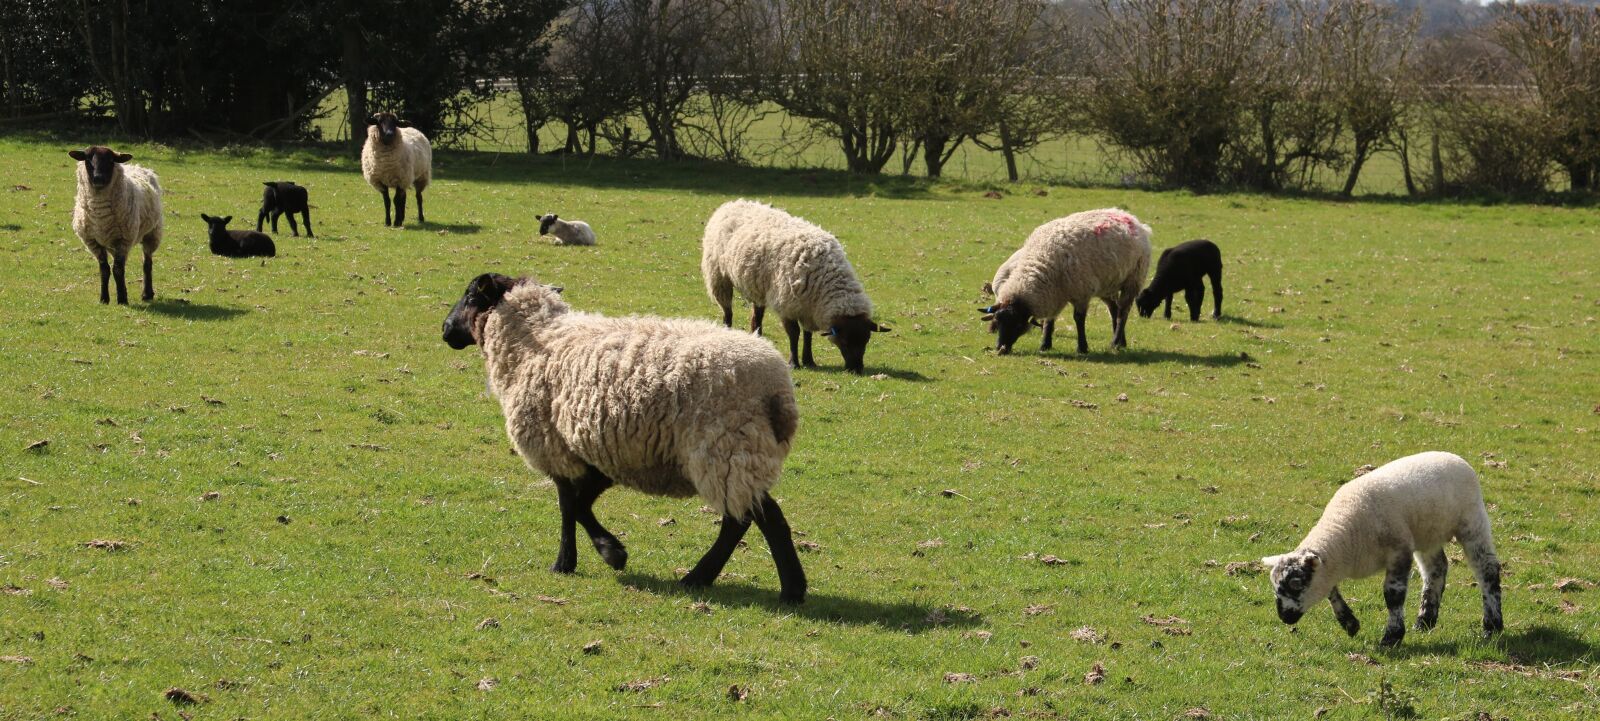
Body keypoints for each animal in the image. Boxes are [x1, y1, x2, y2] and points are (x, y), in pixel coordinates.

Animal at [69, 147, 163, 305]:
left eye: (111, 160)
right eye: (87, 159)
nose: (98, 178)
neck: (100, 215)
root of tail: (136, 166)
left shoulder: (123, 240)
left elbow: (118, 270)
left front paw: (122, 300)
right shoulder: (93, 242)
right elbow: (105, 269)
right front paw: (104, 299)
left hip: (152, 233)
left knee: (147, 263)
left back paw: (147, 294)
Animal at [438, 271, 806, 604]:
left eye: (470, 296)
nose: (445, 329)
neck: (537, 339)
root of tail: (777, 390)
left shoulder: (555, 447)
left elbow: (568, 505)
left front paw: (580, 560)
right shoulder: (599, 451)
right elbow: (581, 503)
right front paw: (607, 552)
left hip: (726, 449)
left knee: (748, 520)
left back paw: (714, 579)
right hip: (742, 454)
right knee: (758, 516)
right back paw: (781, 587)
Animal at [707, 199, 896, 375]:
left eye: (866, 340)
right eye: (844, 341)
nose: (856, 369)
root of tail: (733, 203)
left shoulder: (808, 308)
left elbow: (807, 334)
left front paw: (809, 360)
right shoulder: (787, 305)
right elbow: (794, 333)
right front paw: (794, 363)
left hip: (758, 287)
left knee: (757, 316)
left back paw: (757, 338)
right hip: (718, 276)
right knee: (727, 311)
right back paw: (728, 332)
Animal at [972, 209, 1152, 354]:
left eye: (1017, 325)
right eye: (997, 321)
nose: (1000, 348)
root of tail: (1132, 219)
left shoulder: (1081, 293)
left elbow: (1078, 319)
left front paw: (1082, 347)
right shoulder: (1054, 293)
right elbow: (1049, 319)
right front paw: (1045, 345)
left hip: (1133, 279)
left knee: (1123, 312)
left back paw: (1115, 343)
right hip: (1107, 284)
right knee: (1114, 309)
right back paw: (1121, 341)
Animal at [1260, 450, 1497, 649]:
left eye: (1295, 584)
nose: (1284, 617)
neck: (1344, 534)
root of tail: (1454, 457)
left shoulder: (1399, 551)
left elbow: (1393, 595)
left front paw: (1391, 637)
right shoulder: (1329, 568)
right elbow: (1330, 591)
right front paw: (1350, 624)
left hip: (1472, 521)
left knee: (1487, 569)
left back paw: (1492, 626)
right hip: (1427, 533)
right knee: (1436, 570)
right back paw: (1424, 622)